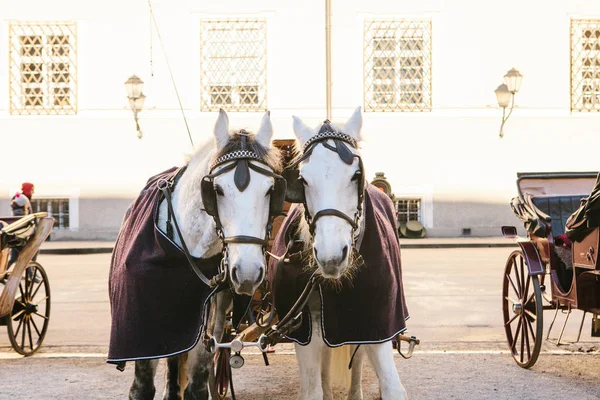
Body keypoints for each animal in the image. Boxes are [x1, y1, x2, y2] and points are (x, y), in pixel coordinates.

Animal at [126, 109, 282, 400]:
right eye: (216, 190)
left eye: (270, 190)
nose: (247, 271)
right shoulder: (145, 324)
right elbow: (141, 388)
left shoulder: (208, 324)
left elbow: (196, 386)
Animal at [288, 107, 406, 400]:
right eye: (303, 180)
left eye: (355, 175)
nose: (331, 257)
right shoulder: (304, 332)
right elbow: (312, 389)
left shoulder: (378, 324)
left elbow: (392, 385)